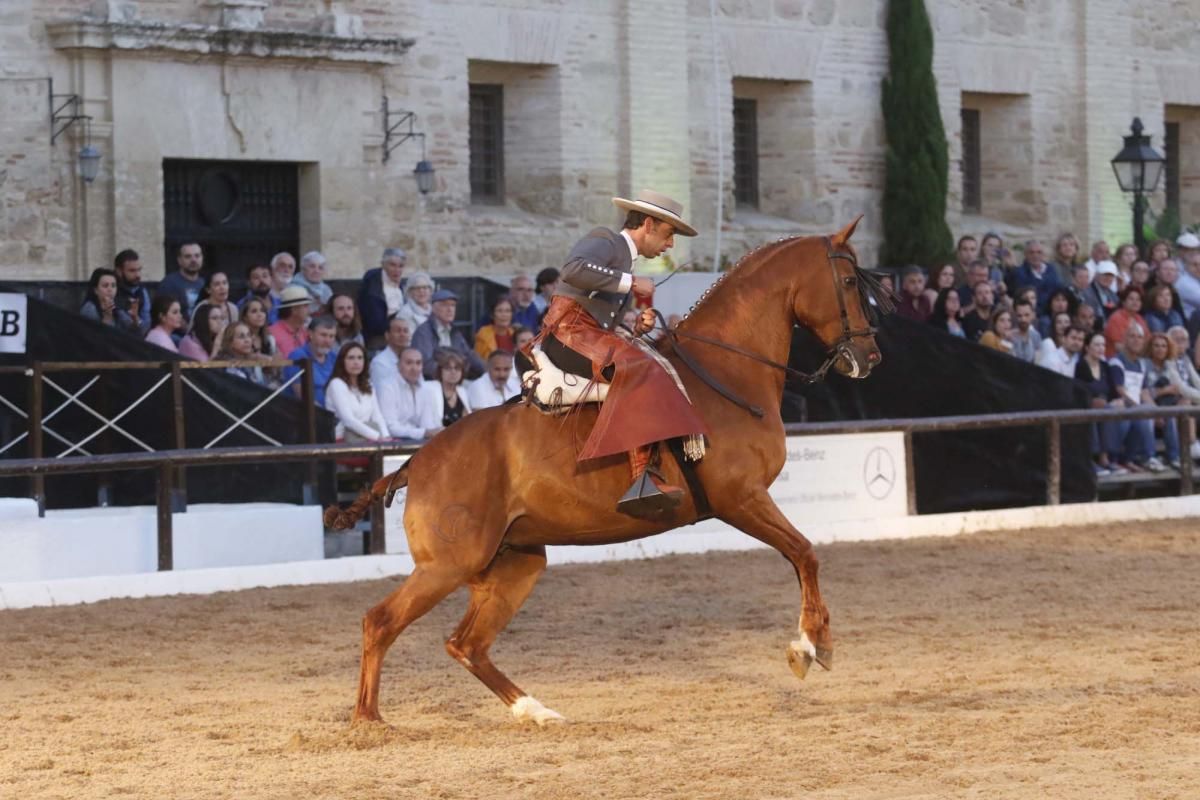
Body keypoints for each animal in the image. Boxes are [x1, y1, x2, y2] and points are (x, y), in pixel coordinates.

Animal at [324, 217, 888, 724]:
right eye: (848, 282)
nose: (870, 356)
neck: (722, 374)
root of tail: (417, 462)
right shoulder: (742, 499)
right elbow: (805, 553)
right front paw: (811, 646)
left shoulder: (747, 502)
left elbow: (800, 557)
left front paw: (813, 642)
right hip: (447, 566)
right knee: (380, 622)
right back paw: (368, 720)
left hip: (514, 564)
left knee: (465, 644)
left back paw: (534, 710)